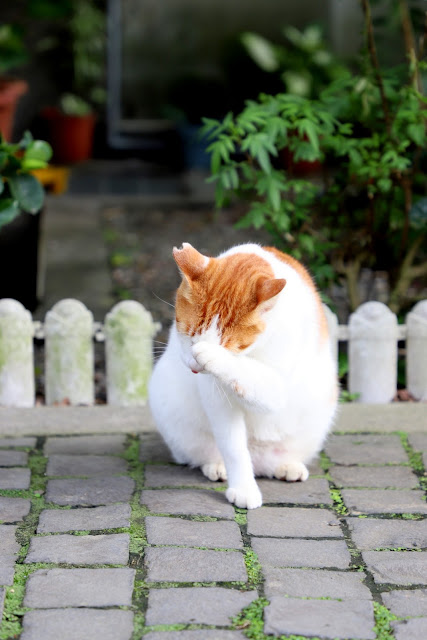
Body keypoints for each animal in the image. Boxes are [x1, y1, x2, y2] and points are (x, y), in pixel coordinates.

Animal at [149, 242, 340, 508]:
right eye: (188, 335)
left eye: (229, 346)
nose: (195, 367)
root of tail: (258, 462)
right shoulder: (217, 400)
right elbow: (234, 449)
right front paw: (243, 488)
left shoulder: (277, 387)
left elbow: (249, 375)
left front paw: (214, 355)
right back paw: (217, 466)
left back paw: (287, 466)